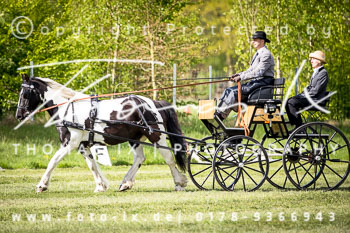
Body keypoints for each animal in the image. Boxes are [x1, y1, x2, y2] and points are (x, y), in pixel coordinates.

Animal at [15, 74, 189, 193]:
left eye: (24, 94)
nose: (19, 115)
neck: (68, 108)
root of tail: (154, 103)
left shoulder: (69, 143)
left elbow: (53, 161)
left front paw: (42, 185)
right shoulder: (82, 145)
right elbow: (92, 165)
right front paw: (101, 185)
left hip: (156, 136)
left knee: (169, 158)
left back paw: (179, 183)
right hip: (134, 138)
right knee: (139, 158)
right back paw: (126, 183)